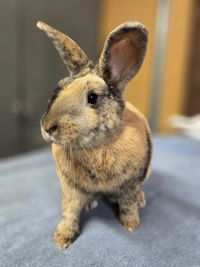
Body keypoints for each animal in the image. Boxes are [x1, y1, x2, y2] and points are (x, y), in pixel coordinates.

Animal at [36, 19, 152, 250]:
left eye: (92, 97)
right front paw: (62, 238)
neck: (96, 146)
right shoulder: (71, 189)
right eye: (58, 88)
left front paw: (131, 225)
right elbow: (70, 212)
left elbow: (128, 206)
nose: (47, 127)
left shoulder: (129, 188)